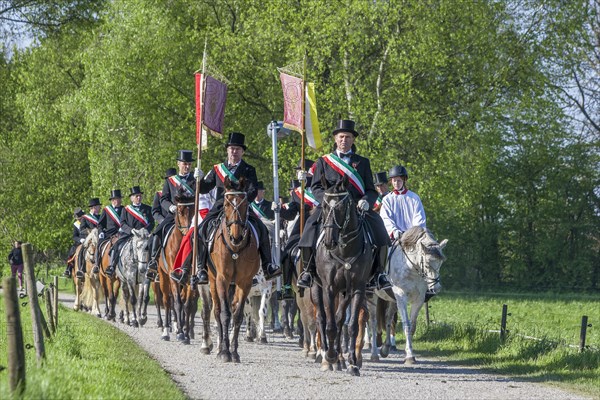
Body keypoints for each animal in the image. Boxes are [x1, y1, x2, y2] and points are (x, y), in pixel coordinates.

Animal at [209, 177, 260, 362]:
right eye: (225, 204)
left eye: (245, 204)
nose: (236, 236)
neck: (235, 248)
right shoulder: (222, 279)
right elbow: (224, 314)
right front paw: (224, 352)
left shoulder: (245, 283)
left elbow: (237, 315)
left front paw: (234, 352)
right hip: (212, 281)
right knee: (217, 311)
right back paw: (218, 348)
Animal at [312, 175, 372, 376]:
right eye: (323, 205)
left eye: (340, 207)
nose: (329, 241)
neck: (345, 250)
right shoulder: (329, 288)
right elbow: (329, 325)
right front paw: (329, 356)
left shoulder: (357, 288)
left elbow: (351, 325)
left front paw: (353, 363)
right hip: (316, 288)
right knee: (322, 318)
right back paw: (326, 357)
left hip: (345, 292)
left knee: (339, 319)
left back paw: (339, 360)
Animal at [386, 227, 448, 364]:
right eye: (427, 264)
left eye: (441, 263)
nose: (436, 288)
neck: (410, 267)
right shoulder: (401, 297)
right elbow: (406, 325)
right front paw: (409, 356)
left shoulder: (418, 300)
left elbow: (412, 327)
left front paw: (409, 353)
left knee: (388, 318)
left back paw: (386, 346)